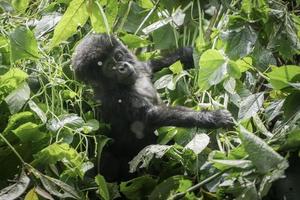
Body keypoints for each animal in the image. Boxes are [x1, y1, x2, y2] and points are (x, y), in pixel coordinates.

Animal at [71, 33, 233, 181]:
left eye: (118, 56)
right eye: (110, 67)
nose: (122, 67)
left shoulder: (141, 68)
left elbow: (155, 65)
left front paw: (189, 53)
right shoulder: (117, 98)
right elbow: (150, 115)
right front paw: (211, 117)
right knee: (108, 159)